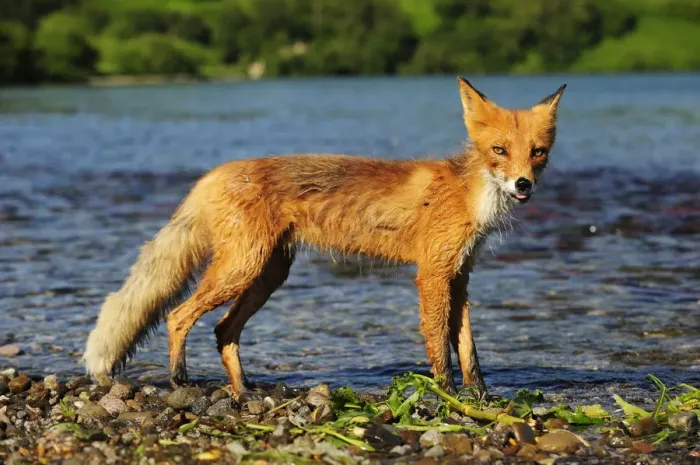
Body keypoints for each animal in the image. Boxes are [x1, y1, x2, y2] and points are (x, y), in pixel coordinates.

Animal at [83, 78, 565, 398]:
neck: (469, 195)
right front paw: (446, 398)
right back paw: (180, 379)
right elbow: (438, 346)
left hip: (266, 276)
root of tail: (214, 173)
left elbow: (468, 349)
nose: (523, 184)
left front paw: (482, 399)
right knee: (177, 315)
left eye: (537, 153)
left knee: (223, 331)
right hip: (241, 270)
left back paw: (244, 392)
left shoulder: (459, 276)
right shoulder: (431, 275)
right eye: (499, 151)